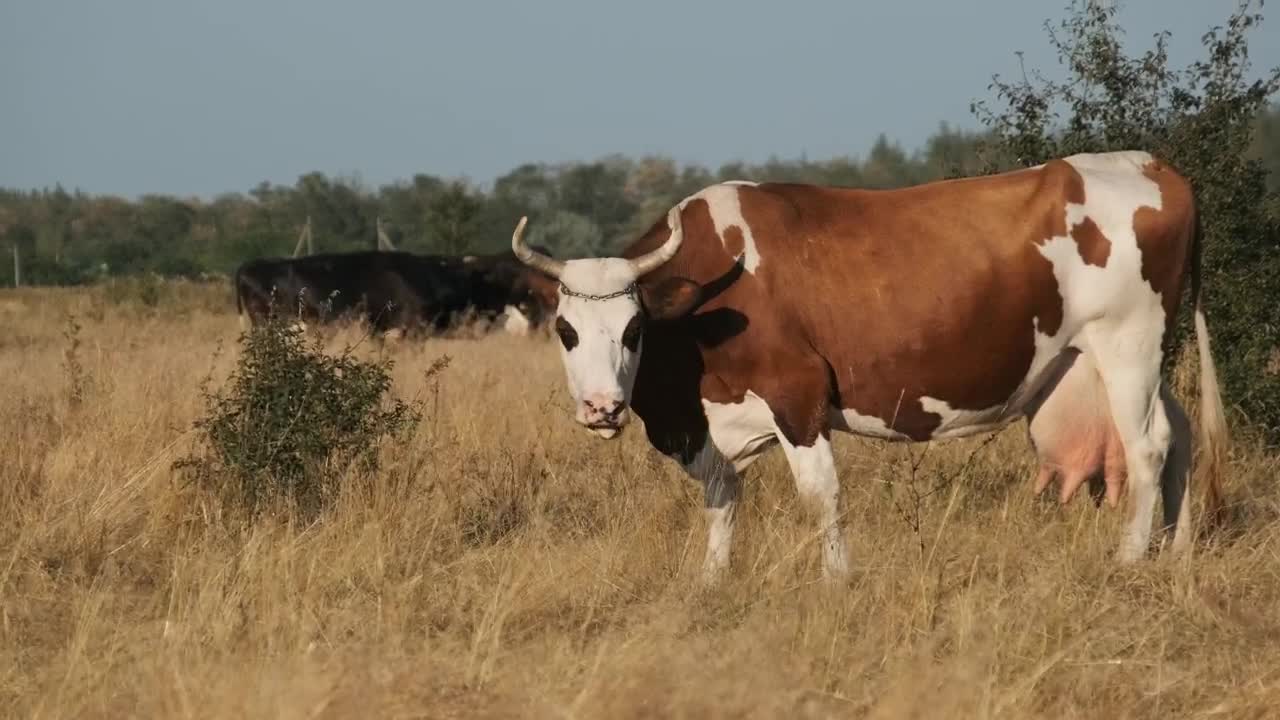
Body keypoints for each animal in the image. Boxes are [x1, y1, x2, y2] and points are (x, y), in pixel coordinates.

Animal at [509, 148, 1228, 579]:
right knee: (1179, 434)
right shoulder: (712, 426)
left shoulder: (795, 395)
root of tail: (1150, 164)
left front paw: (836, 578)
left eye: (633, 329)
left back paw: (1131, 558)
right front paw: (713, 581)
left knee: (1148, 446)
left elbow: (820, 494)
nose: (601, 407)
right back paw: (1177, 553)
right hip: (1138, 358)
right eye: (567, 331)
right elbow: (722, 494)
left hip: (1128, 342)